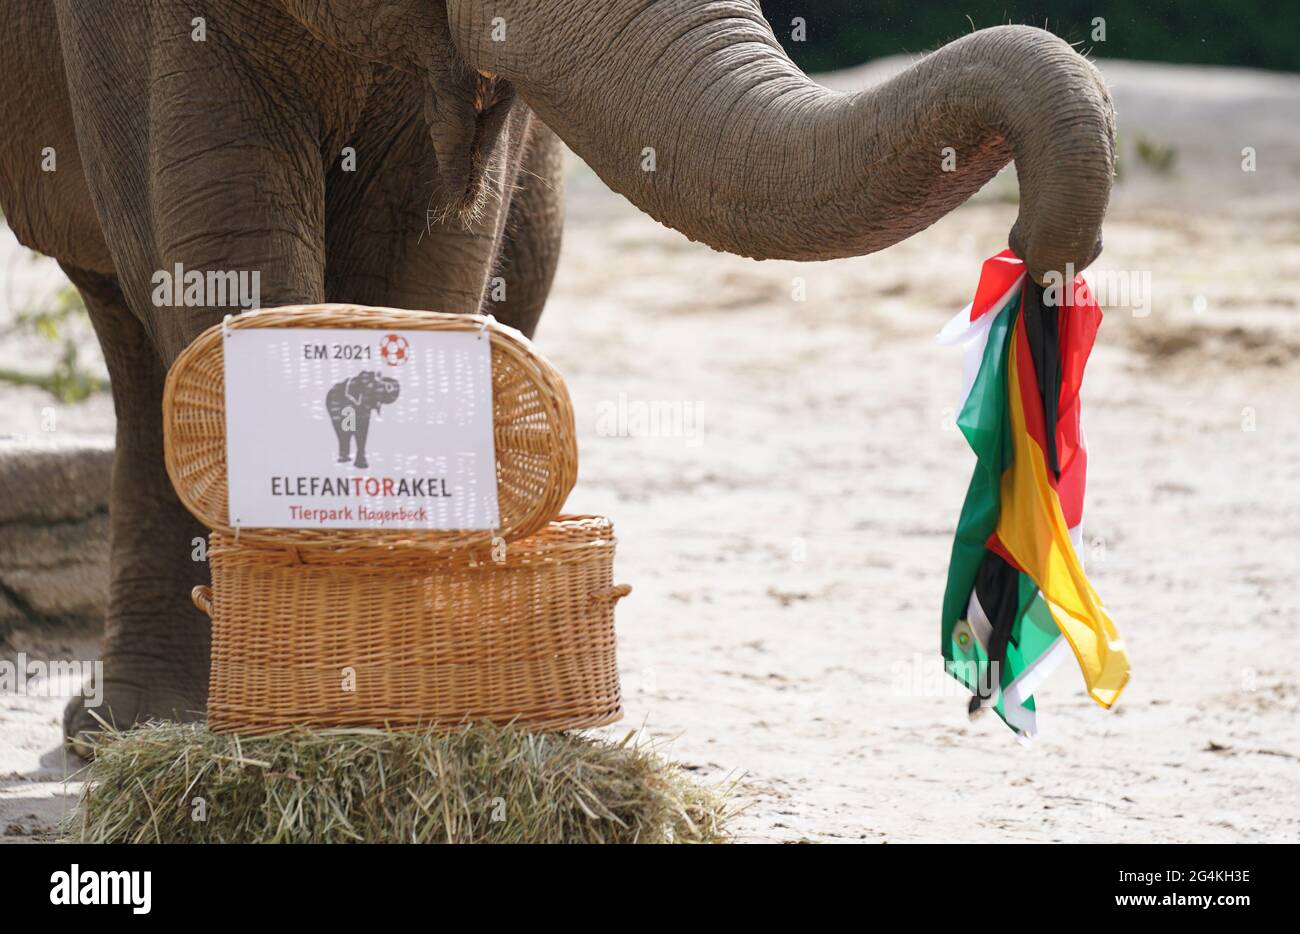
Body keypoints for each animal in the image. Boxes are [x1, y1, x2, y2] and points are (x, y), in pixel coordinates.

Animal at [0, 1, 1114, 751]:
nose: (1036, 246)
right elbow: (227, 265)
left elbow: (424, 262)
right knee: (134, 315)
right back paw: (133, 730)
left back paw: (129, 728)